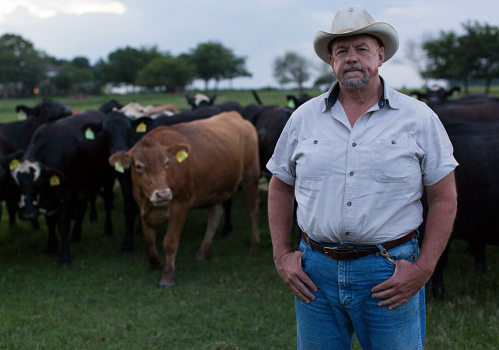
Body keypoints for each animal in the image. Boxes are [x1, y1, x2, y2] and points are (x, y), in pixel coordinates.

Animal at [9, 110, 115, 264]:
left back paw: (108, 229)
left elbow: (62, 224)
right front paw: (52, 246)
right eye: (16, 185)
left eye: (38, 183)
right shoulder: (50, 199)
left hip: (106, 180)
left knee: (107, 204)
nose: (28, 214)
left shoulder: (67, 193)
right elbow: (50, 222)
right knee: (82, 207)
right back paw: (76, 234)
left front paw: (65, 257)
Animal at [110, 112, 262, 288]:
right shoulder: (142, 207)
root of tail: (235, 116)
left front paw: (168, 277)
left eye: (167, 163)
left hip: (250, 176)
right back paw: (203, 252)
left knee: (253, 209)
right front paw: (155, 263)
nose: (163, 194)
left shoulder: (180, 206)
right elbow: (149, 239)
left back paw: (254, 244)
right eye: (138, 166)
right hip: (215, 186)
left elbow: (170, 242)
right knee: (215, 215)